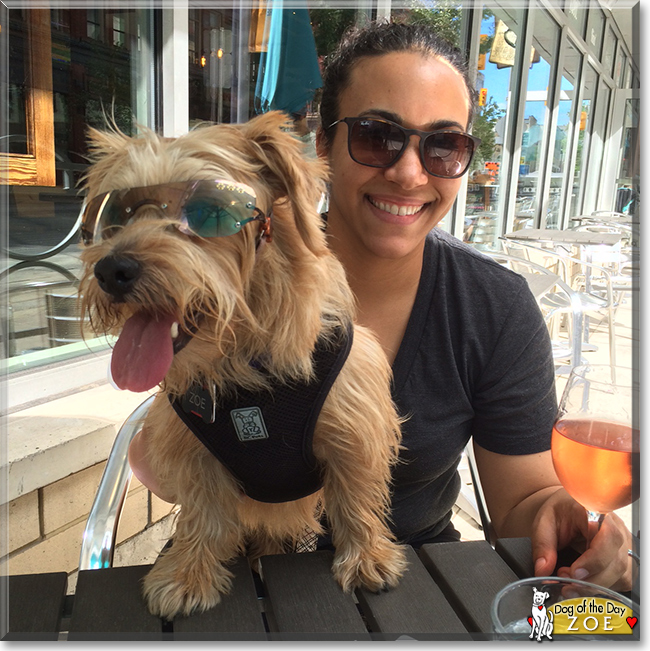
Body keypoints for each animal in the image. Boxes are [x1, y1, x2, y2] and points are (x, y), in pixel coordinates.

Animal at [79, 112, 404, 620]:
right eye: (115, 215)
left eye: (208, 212)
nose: (111, 270)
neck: (243, 364)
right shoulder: (191, 449)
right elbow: (204, 513)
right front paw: (189, 573)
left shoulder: (354, 428)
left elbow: (355, 495)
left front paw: (367, 555)